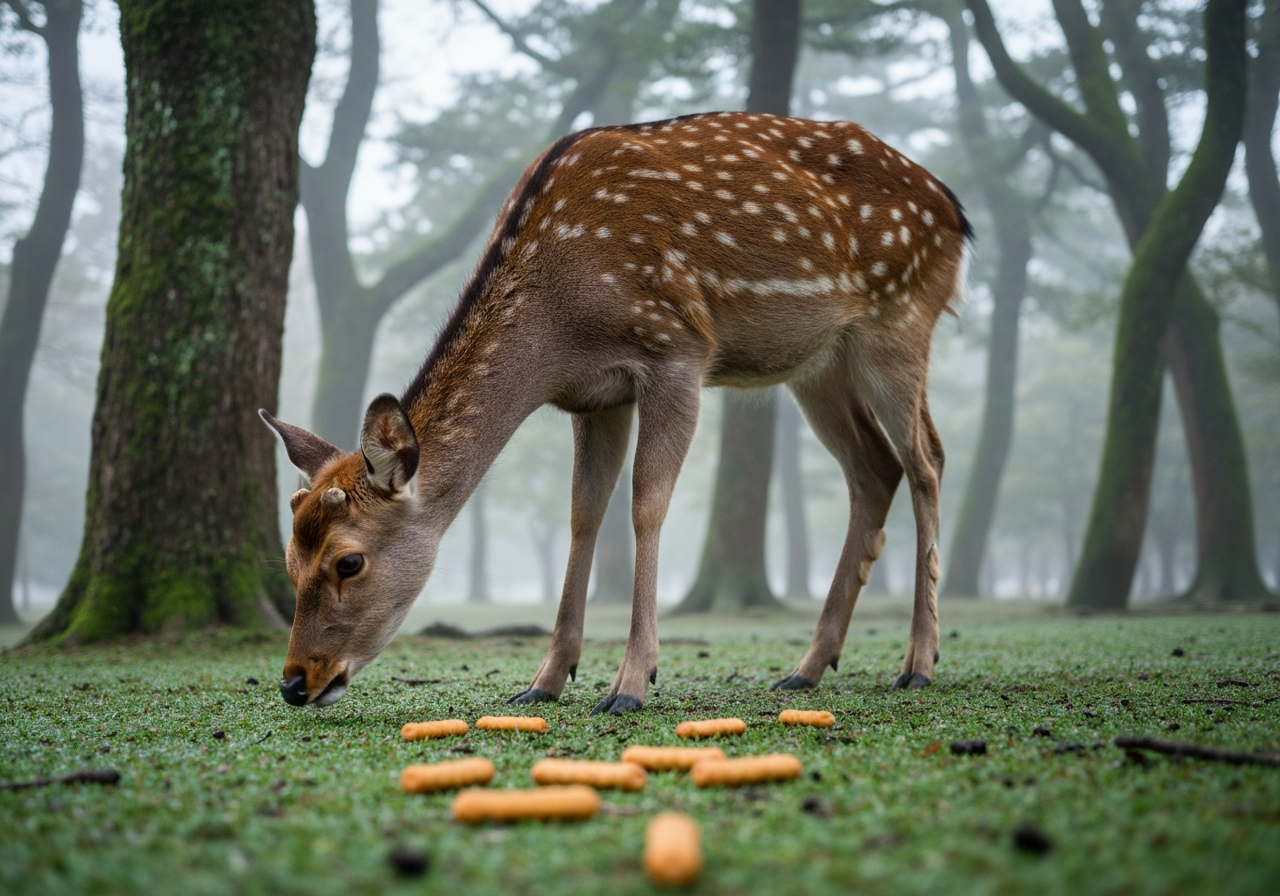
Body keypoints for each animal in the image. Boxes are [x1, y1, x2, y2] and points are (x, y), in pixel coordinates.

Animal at [261, 111, 972, 712]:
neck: (558, 327)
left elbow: (646, 504)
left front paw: (631, 682)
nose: (296, 682)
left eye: (348, 561)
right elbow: (583, 515)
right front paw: (545, 680)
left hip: (900, 319)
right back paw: (806, 667)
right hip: (818, 363)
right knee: (874, 466)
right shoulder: (593, 396)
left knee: (927, 459)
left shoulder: (677, 350)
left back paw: (919, 662)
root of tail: (956, 211)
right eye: (290, 559)